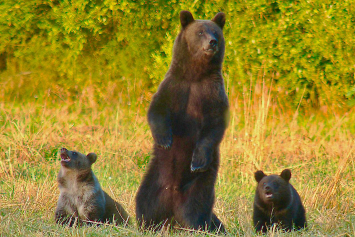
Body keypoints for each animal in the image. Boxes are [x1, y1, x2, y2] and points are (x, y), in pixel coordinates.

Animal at [135, 11, 229, 233]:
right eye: (200, 31)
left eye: (215, 32)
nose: (212, 42)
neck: (195, 75)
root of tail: (173, 195)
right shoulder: (174, 86)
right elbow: (157, 109)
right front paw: (164, 140)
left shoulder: (212, 93)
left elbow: (213, 126)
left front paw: (197, 160)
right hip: (154, 179)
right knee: (145, 204)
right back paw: (145, 224)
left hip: (199, 184)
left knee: (195, 209)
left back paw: (199, 225)